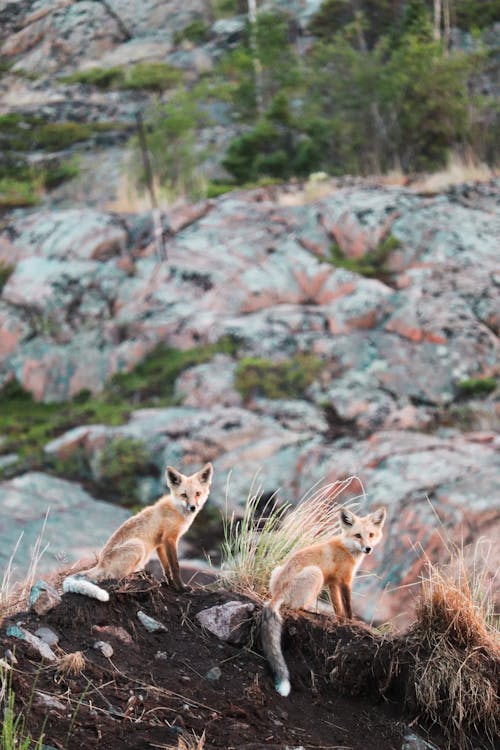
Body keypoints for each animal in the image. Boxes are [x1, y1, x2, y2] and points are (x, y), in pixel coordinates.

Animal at [62, 464, 213, 604]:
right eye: (184, 495)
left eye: (197, 493)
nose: (193, 507)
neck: (177, 510)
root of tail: (100, 563)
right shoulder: (169, 539)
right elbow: (175, 566)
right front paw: (181, 588)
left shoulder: (160, 543)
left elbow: (166, 568)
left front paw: (170, 584)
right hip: (138, 546)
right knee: (117, 576)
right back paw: (139, 575)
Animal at [262, 506, 386, 700]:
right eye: (358, 535)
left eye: (371, 535)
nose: (368, 548)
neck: (347, 547)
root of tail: (277, 593)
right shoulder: (344, 581)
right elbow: (347, 607)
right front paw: (351, 622)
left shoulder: (333, 583)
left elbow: (338, 608)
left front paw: (340, 621)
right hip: (316, 574)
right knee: (296, 606)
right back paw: (314, 610)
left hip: (277, 570)